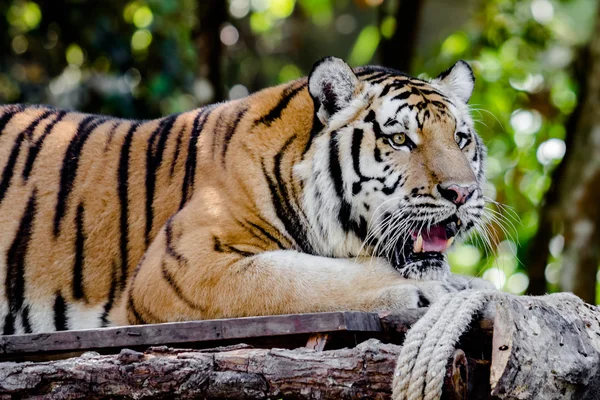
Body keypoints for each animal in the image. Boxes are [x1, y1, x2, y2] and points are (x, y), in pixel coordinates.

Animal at [0, 54, 492, 332]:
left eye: (461, 139)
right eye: (400, 140)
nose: (462, 193)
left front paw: (463, 283)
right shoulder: (182, 267)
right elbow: (303, 279)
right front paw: (424, 292)